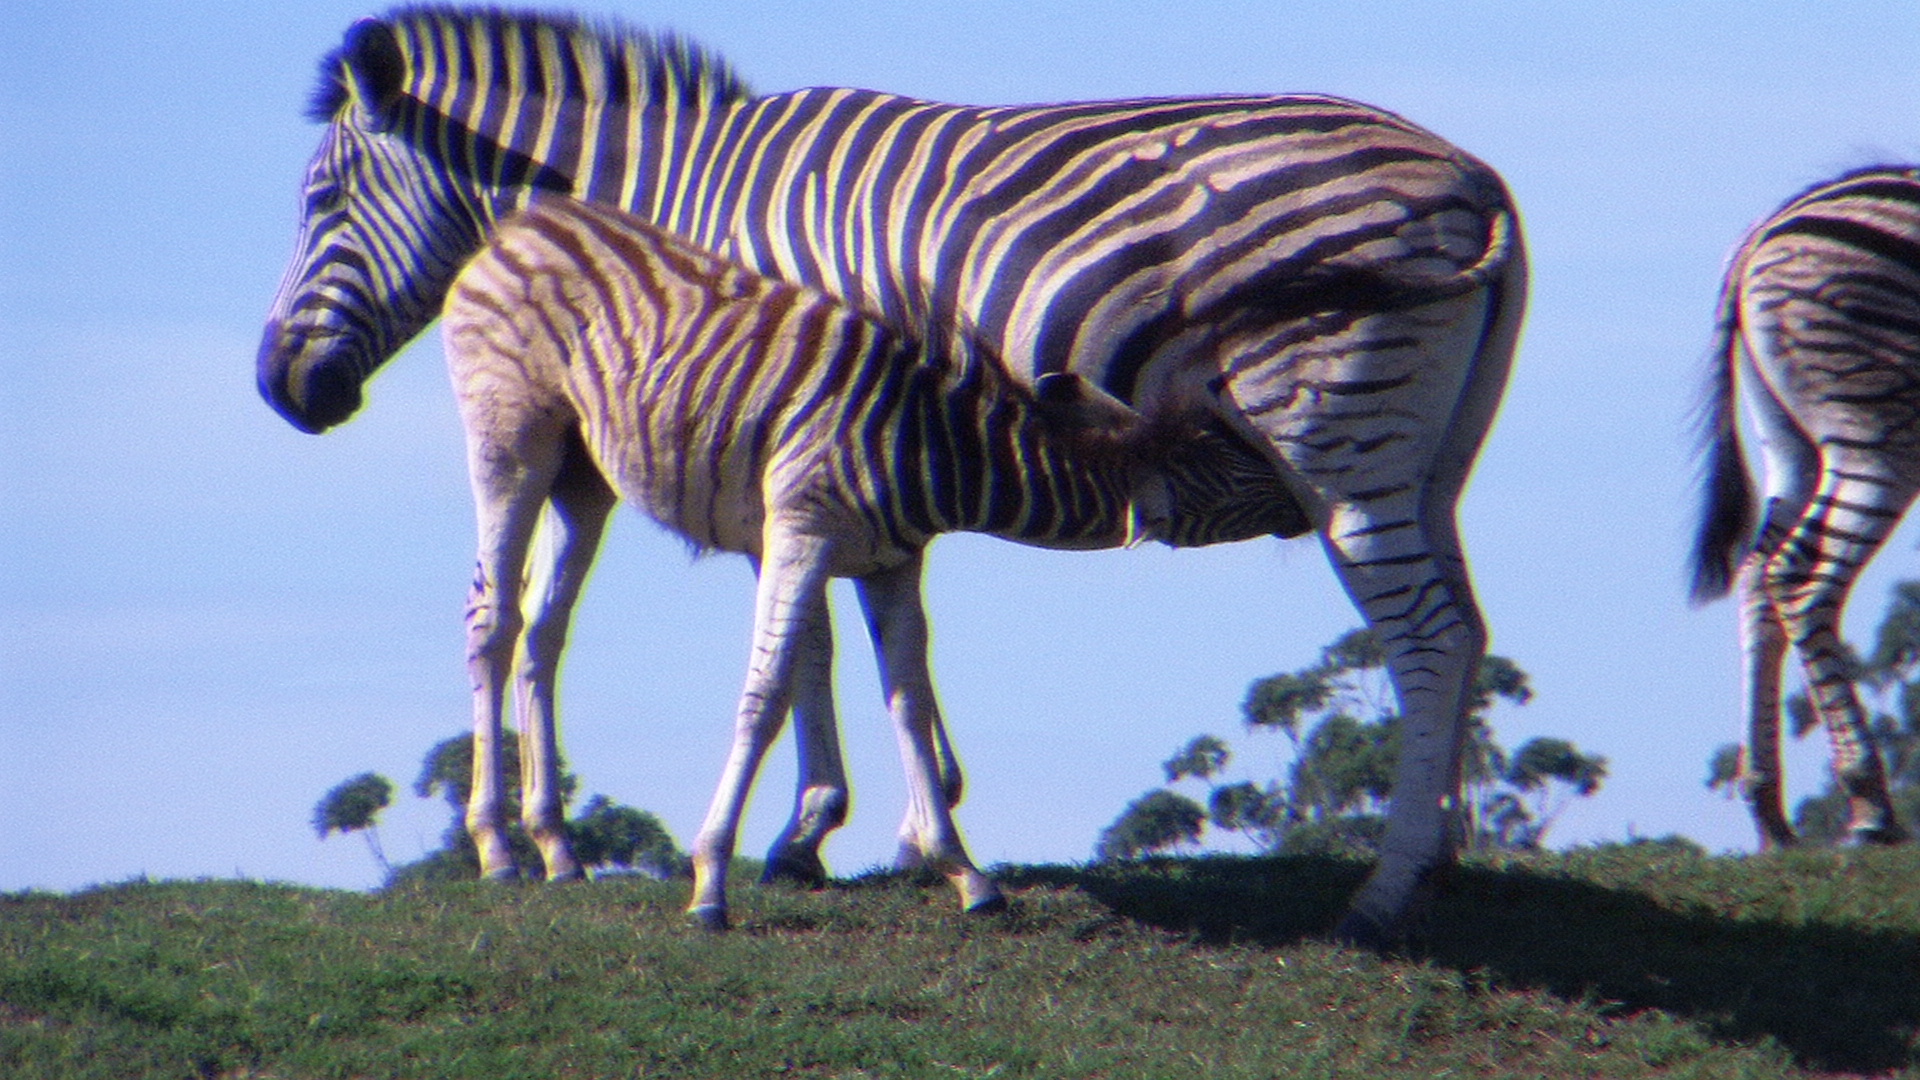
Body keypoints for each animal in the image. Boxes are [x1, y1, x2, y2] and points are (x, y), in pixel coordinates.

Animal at [444, 195, 1230, 928]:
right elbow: (764, 697)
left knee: (543, 630)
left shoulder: (891, 564)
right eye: (1231, 461)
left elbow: (909, 702)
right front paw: (710, 883)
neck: (934, 449)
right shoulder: (802, 532)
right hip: (511, 440)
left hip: (583, 477)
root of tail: (531, 219)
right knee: (492, 620)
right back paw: (497, 850)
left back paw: (557, 850)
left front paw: (965, 875)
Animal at [1693, 165, 1920, 850]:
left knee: (1757, 576)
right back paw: (1871, 806)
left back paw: (1768, 810)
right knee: (1802, 576)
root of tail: (1760, 233)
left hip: (1788, 440)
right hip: (1879, 428)